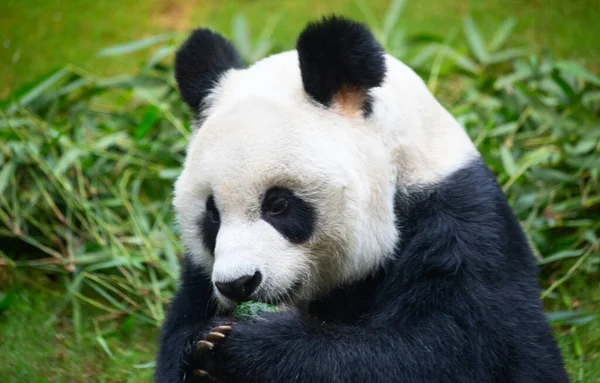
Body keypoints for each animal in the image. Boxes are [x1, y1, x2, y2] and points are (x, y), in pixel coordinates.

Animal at [155, 15, 568, 383]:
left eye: (278, 204)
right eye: (212, 215)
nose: (238, 284)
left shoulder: (462, 229)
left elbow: (434, 351)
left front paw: (248, 344)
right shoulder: (199, 277)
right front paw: (202, 344)